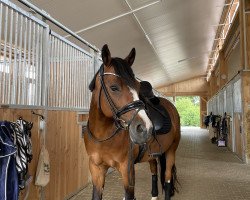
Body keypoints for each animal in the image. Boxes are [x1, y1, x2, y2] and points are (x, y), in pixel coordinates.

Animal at [83, 44, 180, 200]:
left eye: (137, 86)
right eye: (114, 87)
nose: (145, 128)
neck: (103, 136)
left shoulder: (127, 170)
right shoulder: (96, 170)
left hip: (171, 151)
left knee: (167, 179)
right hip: (152, 155)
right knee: (154, 171)